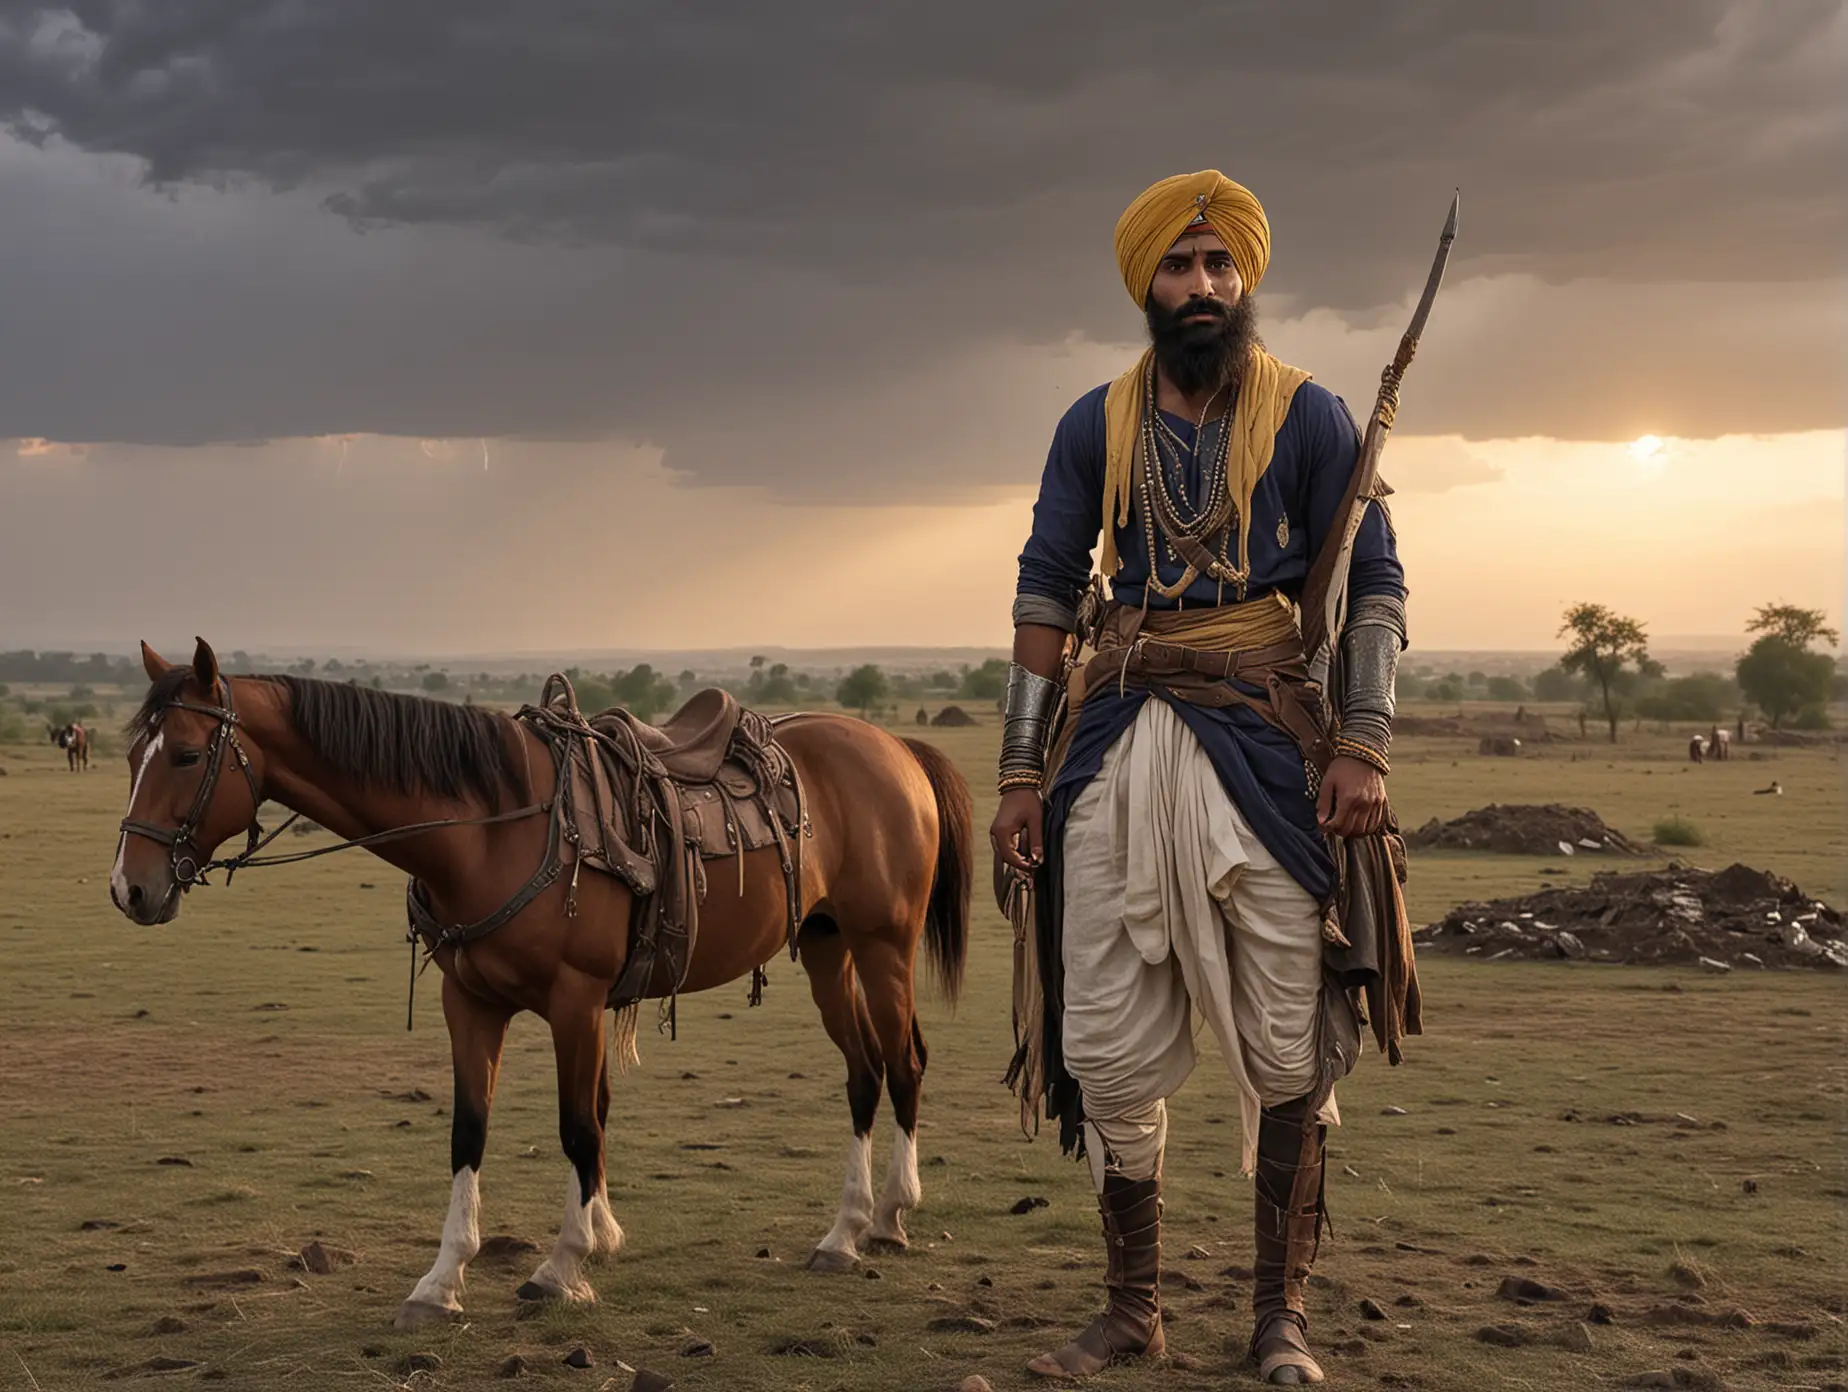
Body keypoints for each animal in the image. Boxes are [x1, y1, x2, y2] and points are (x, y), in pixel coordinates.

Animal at [111, 639, 983, 1323]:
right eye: (130, 758)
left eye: (186, 755)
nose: (130, 888)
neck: (487, 828)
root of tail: (894, 747)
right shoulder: (469, 1002)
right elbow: (471, 1132)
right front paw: (444, 1280)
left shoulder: (575, 1001)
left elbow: (578, 1126)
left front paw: (564, 1264)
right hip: (829, 947)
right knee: (863, 1071)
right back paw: (843, 1232)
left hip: (883, 945)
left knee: (902, 1061)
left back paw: (890, 1216)